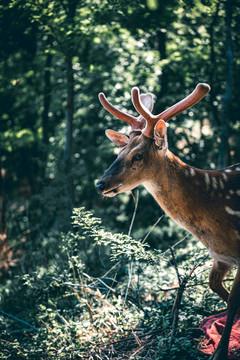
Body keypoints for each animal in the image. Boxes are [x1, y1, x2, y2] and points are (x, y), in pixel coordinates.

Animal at [96, 83, 240, 360]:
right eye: (119, 151)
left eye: (138, 156)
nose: (100, 184)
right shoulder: (222, 256)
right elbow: (219, 291)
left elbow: (233, 303)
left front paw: (221, 352)